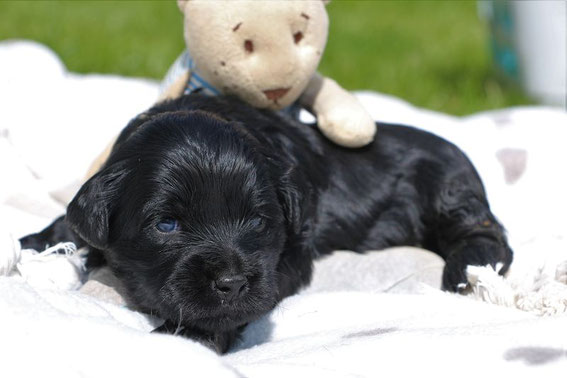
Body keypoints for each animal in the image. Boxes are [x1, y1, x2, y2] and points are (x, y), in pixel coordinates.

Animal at [20, 94, 512, 352]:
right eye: (167, 225)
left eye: (257, 220)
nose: (233, 282)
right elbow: (71, 223)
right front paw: (36, 244)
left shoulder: (289, 255)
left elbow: (223, 313)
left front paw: (189, 338)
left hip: (448, 192)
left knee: (487, 234)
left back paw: (468, 269)